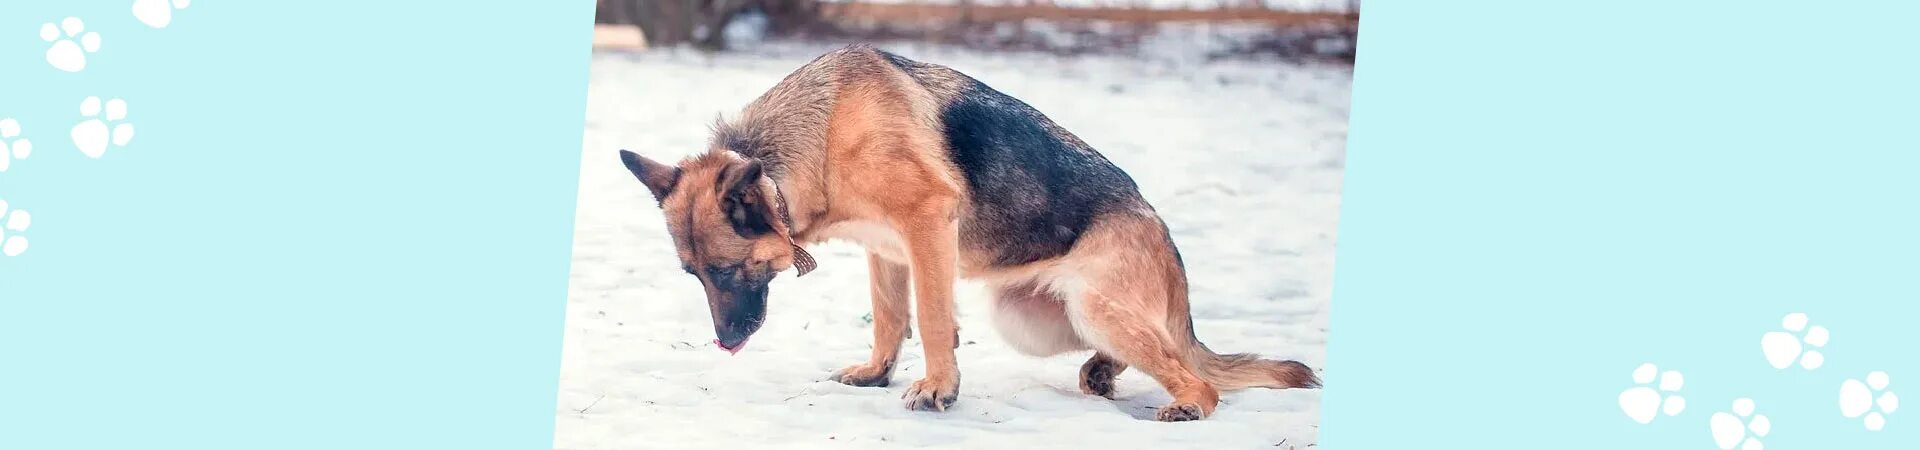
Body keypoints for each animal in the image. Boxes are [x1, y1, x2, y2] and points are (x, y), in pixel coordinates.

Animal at [614, 43, 1320, 419]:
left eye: (728, 271)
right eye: (692, 275)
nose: (726, 343)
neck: (820, 135)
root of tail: (1163, 233)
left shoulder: (926, 224)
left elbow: (929, 318)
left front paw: (938, 386)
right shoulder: (886, 250)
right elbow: (890, 317)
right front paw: (879, 373)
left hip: (1092, 304)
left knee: (1195, 376)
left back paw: (1187, 403)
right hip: (1034, 317)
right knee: (1152, 352)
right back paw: (1102, 373)